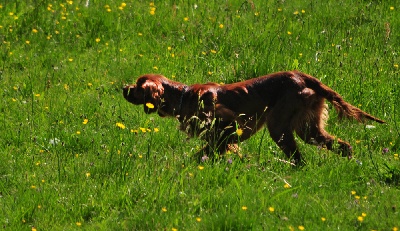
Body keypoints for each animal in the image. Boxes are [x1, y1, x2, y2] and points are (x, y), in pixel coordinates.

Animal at [122, 70, 384, 164]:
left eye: (137, 86)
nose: (123, 88)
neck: (184, 97)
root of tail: (302, 76)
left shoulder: (229, 125)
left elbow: (205, 151)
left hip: (278, 127)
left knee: (298, 156)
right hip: (308, 129)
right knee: (342, 145)